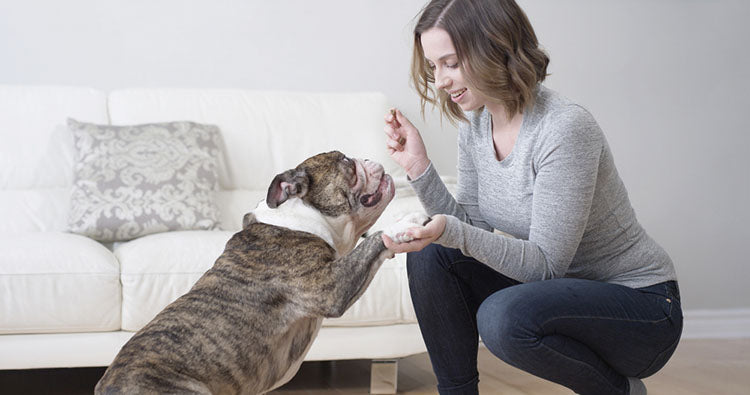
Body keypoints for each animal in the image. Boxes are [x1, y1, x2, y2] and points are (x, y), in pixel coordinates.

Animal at [97, 152, 432, 395]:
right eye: (347, 162)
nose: (368, 159)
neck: (300, 216)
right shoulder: (332, 287)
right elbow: (372, 244)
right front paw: (406, 222)